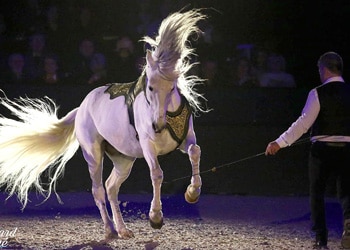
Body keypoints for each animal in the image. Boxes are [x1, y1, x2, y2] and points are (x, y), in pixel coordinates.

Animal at [0, 9, 206, 239]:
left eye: (172, 88)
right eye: (150, 87)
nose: (158, 125)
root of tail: (81, 108)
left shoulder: (186, 138)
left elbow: (195, 151)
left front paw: (192, 193)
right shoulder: (148, 146)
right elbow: (157, 173)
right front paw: (155, 217)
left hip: (123, 159)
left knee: (111, 187)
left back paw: (123, 230)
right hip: (93, 154)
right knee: (98, 189)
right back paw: (110, 230)